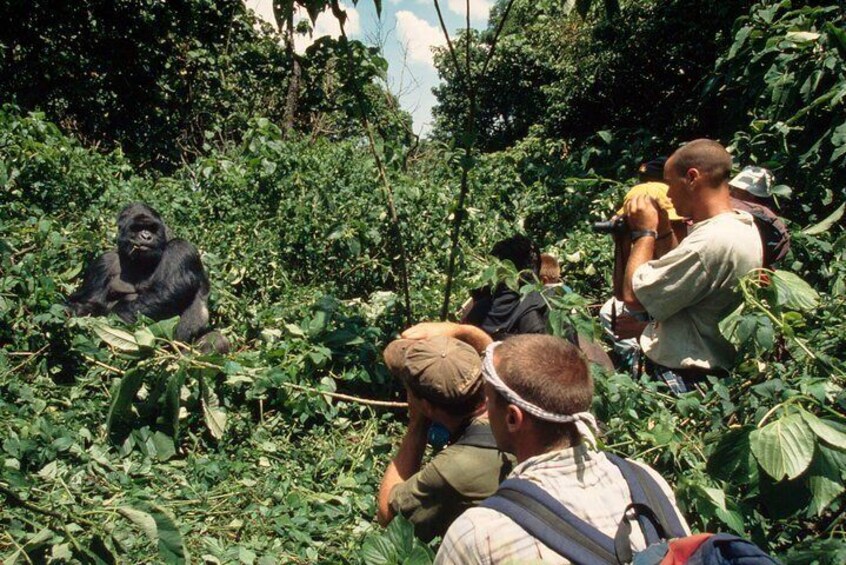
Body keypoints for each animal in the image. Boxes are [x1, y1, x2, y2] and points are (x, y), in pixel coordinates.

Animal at [68, 203, 229, 352]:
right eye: (137, 228)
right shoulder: (103, 263)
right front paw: (74, 311)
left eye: (152, 228)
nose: (146, 236)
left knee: (217, 341)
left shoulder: (181, 248)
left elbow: (167, 293)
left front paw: (112, 317)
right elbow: (92, 301)